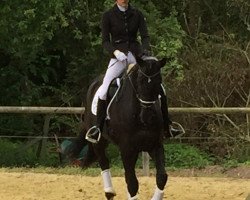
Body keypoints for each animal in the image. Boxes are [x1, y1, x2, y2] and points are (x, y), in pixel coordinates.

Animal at [69, 56, 169, 200]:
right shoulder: (126, 148)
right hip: (99, 141)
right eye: (140, 80)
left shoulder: (154, 145)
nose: (148, 116)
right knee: (104, 162)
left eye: (159, 81)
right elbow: (132, 182)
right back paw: (109, 192)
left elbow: (161, 177)